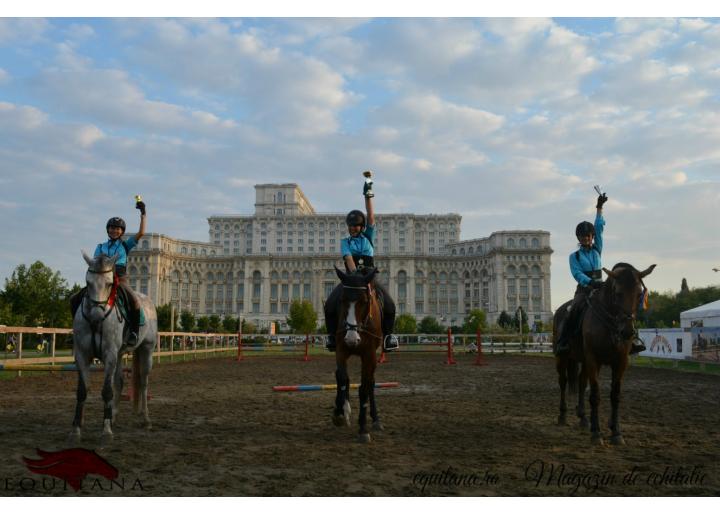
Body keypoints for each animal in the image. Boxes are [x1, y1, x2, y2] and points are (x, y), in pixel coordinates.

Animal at [69, 250, 157, 442]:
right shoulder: (82, 355)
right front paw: (76, 429)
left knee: (143, 382)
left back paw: (146, 419)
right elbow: (82, 391)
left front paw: (106, 431)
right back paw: (114, 416)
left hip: (146, 349)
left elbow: (107, 391)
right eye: (88, 282)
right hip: (120, 353)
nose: (96, 316)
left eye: (110, 284)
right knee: (120, 381)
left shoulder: (109, 354)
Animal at [332, 264, 386, 440]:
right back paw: (344, 409)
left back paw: (376, 420)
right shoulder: (341, 350)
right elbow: (342, 378)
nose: (351, 339)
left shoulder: (369, 356)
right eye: (342, 300)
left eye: (364, 301)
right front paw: (340, 413)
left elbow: (364, 388)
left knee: (371, 383)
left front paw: (363, 428)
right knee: (342, 377)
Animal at [556, 262, 656, 442]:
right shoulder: (593, 360)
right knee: (563, 382)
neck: (611, 325)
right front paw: (596, 433)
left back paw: (583, 418)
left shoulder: (621, 362)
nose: (627, 331)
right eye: (618, 293)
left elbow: (615, 395)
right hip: (563, 358)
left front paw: (616, 432)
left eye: (639, 294)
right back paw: (563, 416)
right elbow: (595, 395)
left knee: (581, 383)